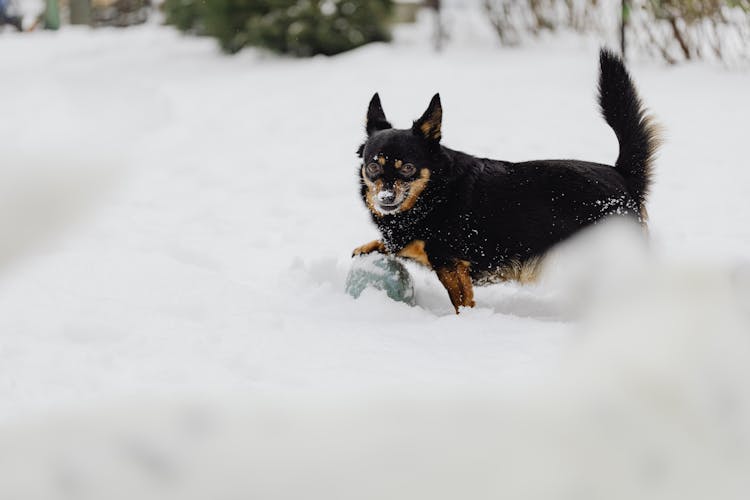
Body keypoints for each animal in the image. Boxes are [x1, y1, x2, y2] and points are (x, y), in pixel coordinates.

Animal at [356, 47, 660, 312]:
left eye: (407, 168)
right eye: (373, 167)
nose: (385, 198)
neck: (433, 193)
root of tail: (622, 174)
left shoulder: (451, 265)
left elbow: (461, 302)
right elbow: (389, 245)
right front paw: (367, 246)